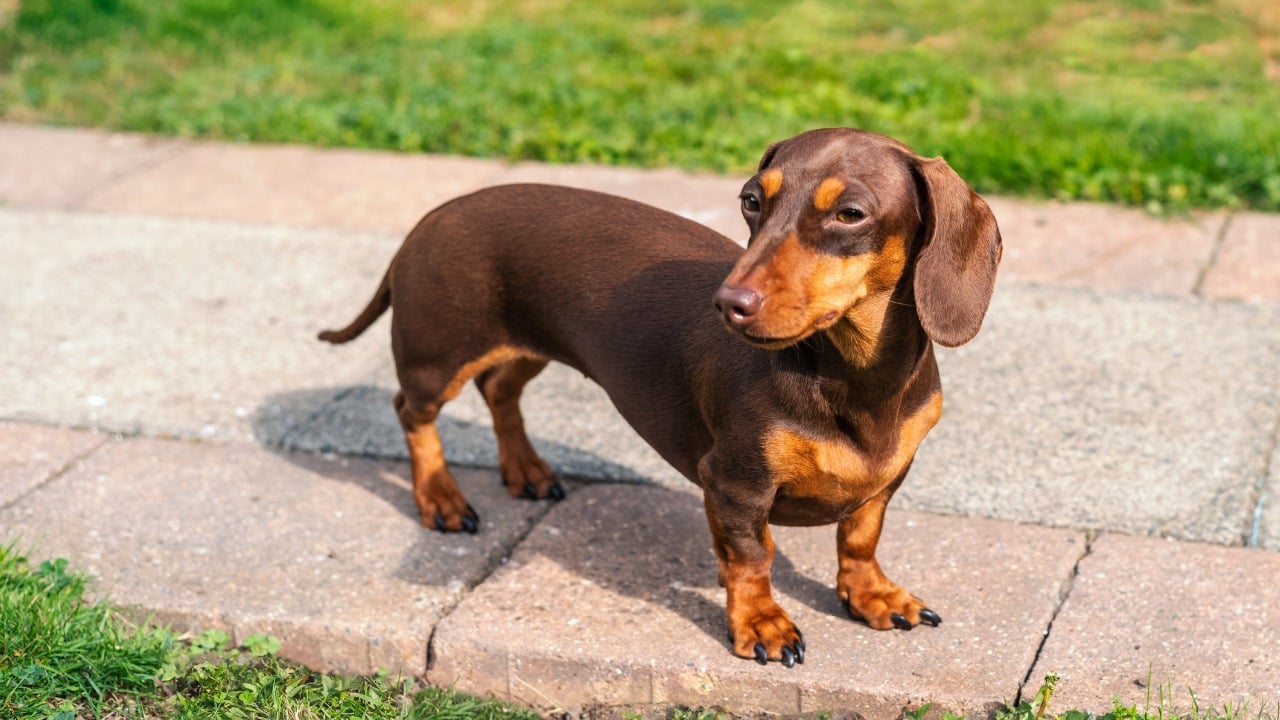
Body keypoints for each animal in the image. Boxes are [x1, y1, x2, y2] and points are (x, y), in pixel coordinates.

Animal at [320, 126, 998, 666]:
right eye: (751, 200)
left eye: (850, 213)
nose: (728, 304)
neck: (851, 377)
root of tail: (430, 217)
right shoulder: (733, 482)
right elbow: (753, 558)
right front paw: (761, 624)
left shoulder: (888, 476)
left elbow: (860, 535)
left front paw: (872, 595)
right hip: (439, 355)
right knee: (412, 411)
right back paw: (440, 497)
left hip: (528, 348)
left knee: (499, 390)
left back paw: (527, 471)